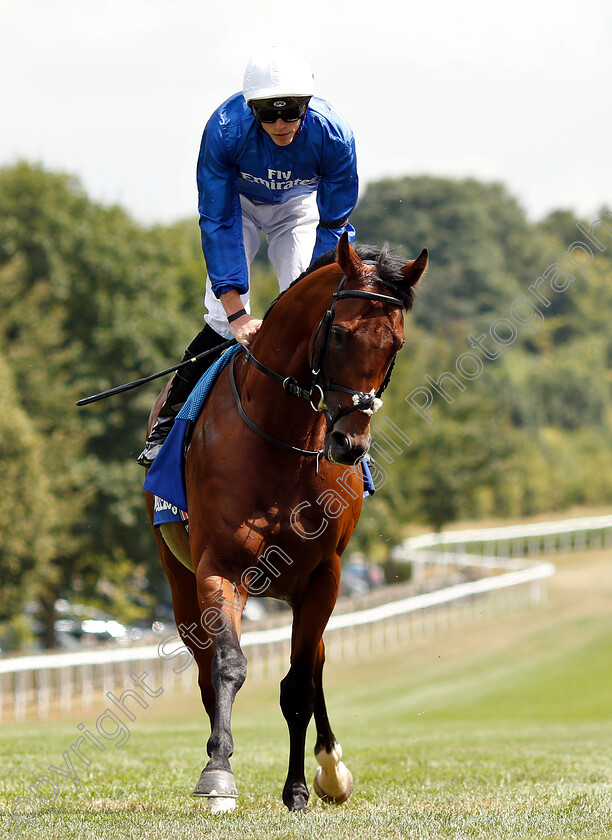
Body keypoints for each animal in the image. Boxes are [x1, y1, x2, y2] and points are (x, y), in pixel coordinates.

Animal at [145, 233, 428, 812]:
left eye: (396, 343)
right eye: (339, 333)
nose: (349, 443)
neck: (281, 438)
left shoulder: (325, 576)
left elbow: (299, 684)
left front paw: (301, 785)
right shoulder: (219, 567)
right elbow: (227, 667)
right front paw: (218, 773)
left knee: (313, 665)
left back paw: (330, 767)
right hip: (179, 582)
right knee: (207, 670)